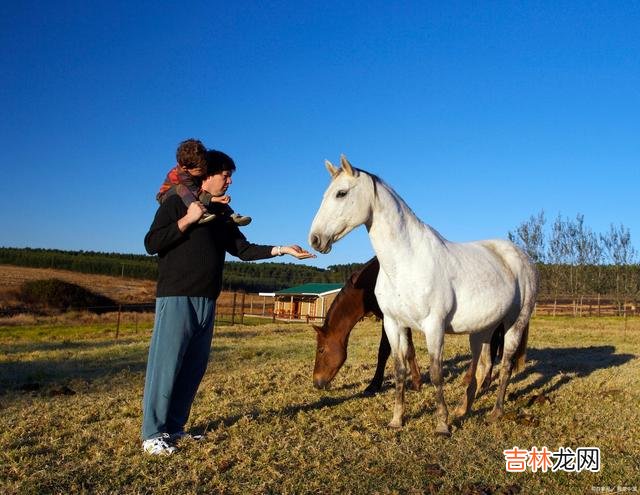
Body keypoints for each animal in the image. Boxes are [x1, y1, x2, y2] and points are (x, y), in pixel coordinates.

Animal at [312, 260, 502, 396]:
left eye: (321, 350)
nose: (316, 382)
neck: (370, 283)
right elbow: (409, 349)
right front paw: (416, 382)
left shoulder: (390, 319)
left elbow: (384, 352)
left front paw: (374, 385)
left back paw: (481, 382)